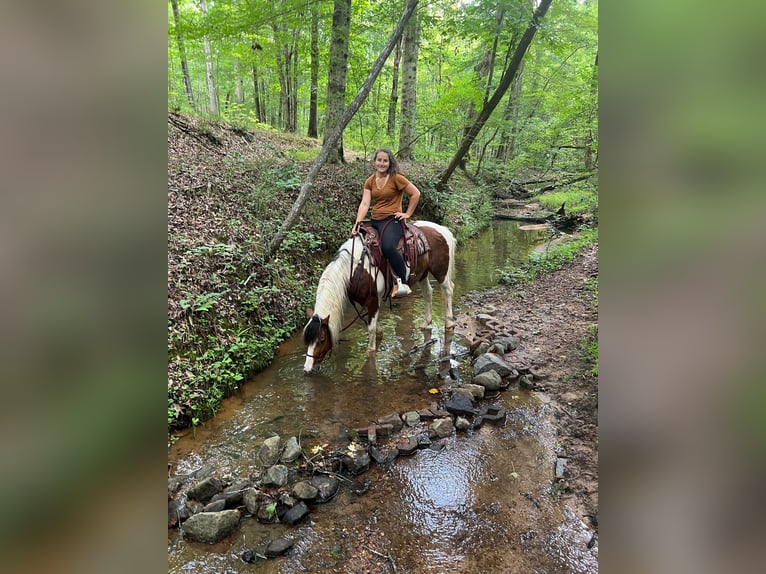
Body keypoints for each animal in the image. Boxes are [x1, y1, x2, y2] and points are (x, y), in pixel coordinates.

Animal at [302, 219, 456, 374]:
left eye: (321, 339)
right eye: (306, 340)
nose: (307, 368)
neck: (355, 268)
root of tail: (441, 229)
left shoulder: (373, 300)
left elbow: (371, 328)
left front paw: (370, 352)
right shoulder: (362, 301)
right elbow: (372, 325)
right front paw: (379, 334)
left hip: (440, 271)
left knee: (448, 290)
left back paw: (449, 323)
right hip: (422, 273)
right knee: (428, 293)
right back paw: (426, 322)